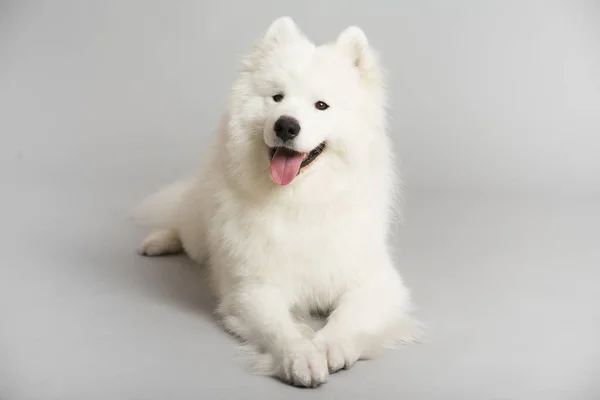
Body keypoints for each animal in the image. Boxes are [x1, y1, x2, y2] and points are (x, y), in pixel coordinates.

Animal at [135, 16, 418, 388]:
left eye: (321, 105)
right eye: (277, 98)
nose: (286, 125)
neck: (302, 202)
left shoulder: (375, 283)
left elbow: (348, 317)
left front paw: (331, 345)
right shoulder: (252, 289)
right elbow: (280, 329)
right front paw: (302, 356)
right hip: (197, 233)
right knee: (183, 228)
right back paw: (157, 241)